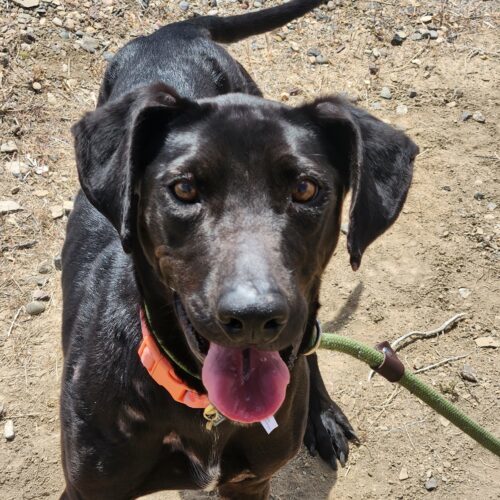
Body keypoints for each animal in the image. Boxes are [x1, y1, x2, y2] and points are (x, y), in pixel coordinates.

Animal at [60, 1, 416, 498]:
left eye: (305, 189)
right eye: (185, 188)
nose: (252, 318)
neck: (203, 407)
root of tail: (174, 32)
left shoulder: (251, 482)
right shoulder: (89, 489)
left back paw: (321, 414)